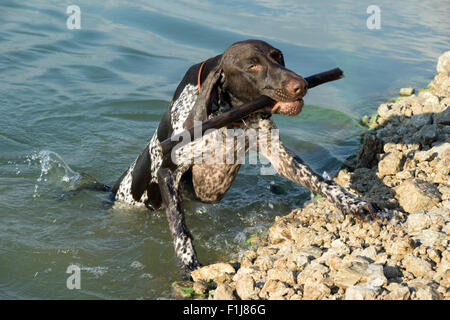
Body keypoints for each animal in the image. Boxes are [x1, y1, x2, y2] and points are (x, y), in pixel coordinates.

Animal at [111, 38, 380, 272]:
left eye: (278, 57)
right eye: (252, 66)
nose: (301, 85)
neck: (230, 114)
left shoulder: (279, 155)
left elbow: (321, 181)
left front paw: (353, 203)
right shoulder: (169, 171)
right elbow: (180, 230)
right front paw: (190, 264)